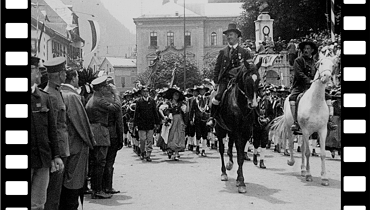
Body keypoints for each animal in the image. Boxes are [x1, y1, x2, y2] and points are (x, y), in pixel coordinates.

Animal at [212, 61, 262, 194]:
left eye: (258, 79)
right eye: (246, 79)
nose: (253, 104)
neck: (240, 105)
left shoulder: (245, 133)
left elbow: (241, 157)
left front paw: (240, 181)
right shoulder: (237, 132)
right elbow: (238, 154)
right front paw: (241, 181)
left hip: (231, 131)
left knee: (229, 147)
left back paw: (230, 163)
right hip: (220, 129)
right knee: (221, 149)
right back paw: (224, 172)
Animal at [272, 55, 336, 185]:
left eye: (332, 65)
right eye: (321, 63)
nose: (326, 77)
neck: (315, 102)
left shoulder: (322, 130)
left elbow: (322, 153)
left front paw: (324, 177)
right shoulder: (306, 130)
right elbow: (307, 152)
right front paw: (309, 175)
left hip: (302, 132)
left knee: (301, 148)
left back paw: (302, 170)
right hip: (291, 128)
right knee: (291, 144)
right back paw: (291, 161)